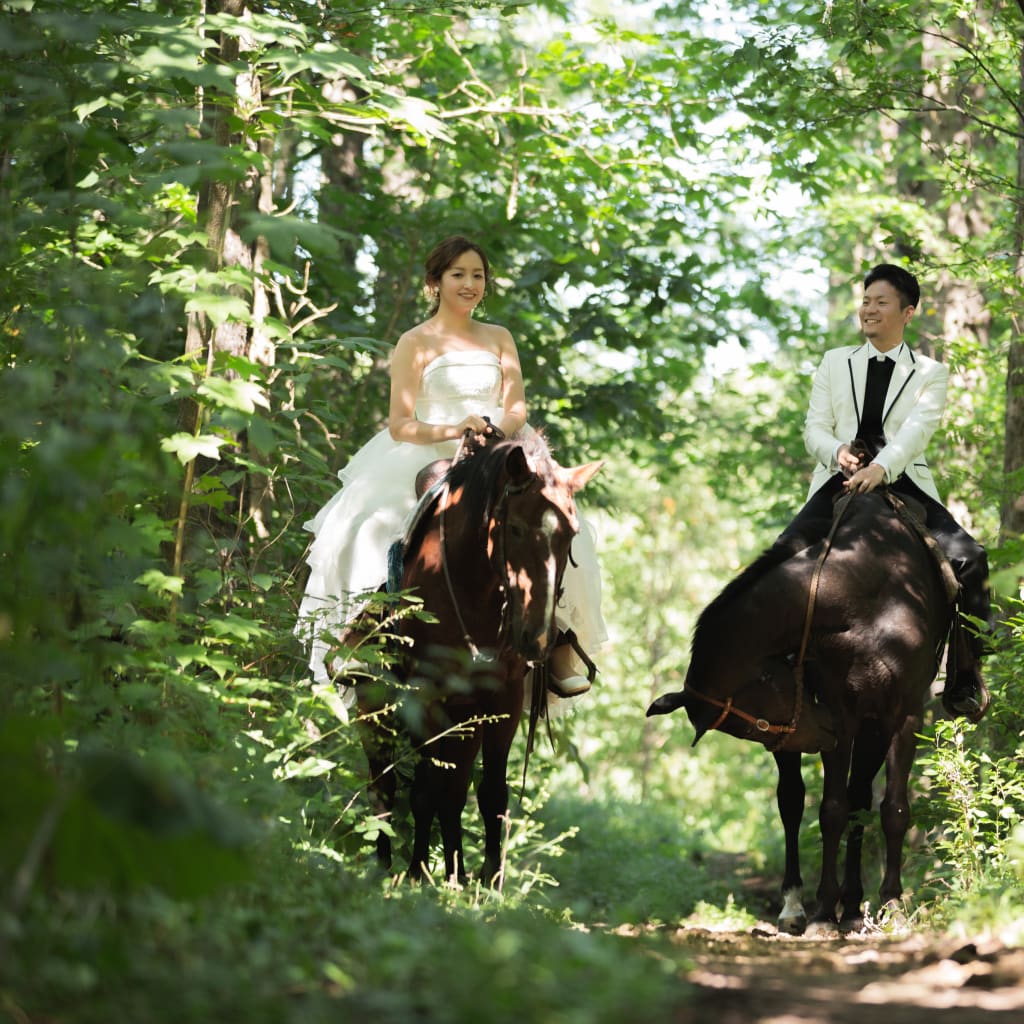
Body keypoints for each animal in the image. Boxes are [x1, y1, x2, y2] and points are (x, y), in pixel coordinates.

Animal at [358, 428, 598, 884]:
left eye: (572, 534)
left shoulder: (502, 699)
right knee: (385, 784)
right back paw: (385, 866)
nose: (536, 639)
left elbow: (489, 792)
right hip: (376, 705)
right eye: (516, 528)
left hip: (466, 716)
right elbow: (425, 789)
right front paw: (419, 874)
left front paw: (488, 881)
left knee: (454, 785)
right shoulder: (426, 696)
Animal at [647, 491, 958, 933]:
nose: (819, 733)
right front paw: (824, 911)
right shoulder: (842, 712)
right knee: (794, 803)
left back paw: (854, 904)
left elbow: (893, 810)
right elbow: (831, 811)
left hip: (872, 728)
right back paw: (799, 905)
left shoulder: (901, 714)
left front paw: (891, 904)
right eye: (754, 727)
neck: (865, 592)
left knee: (860, 799)